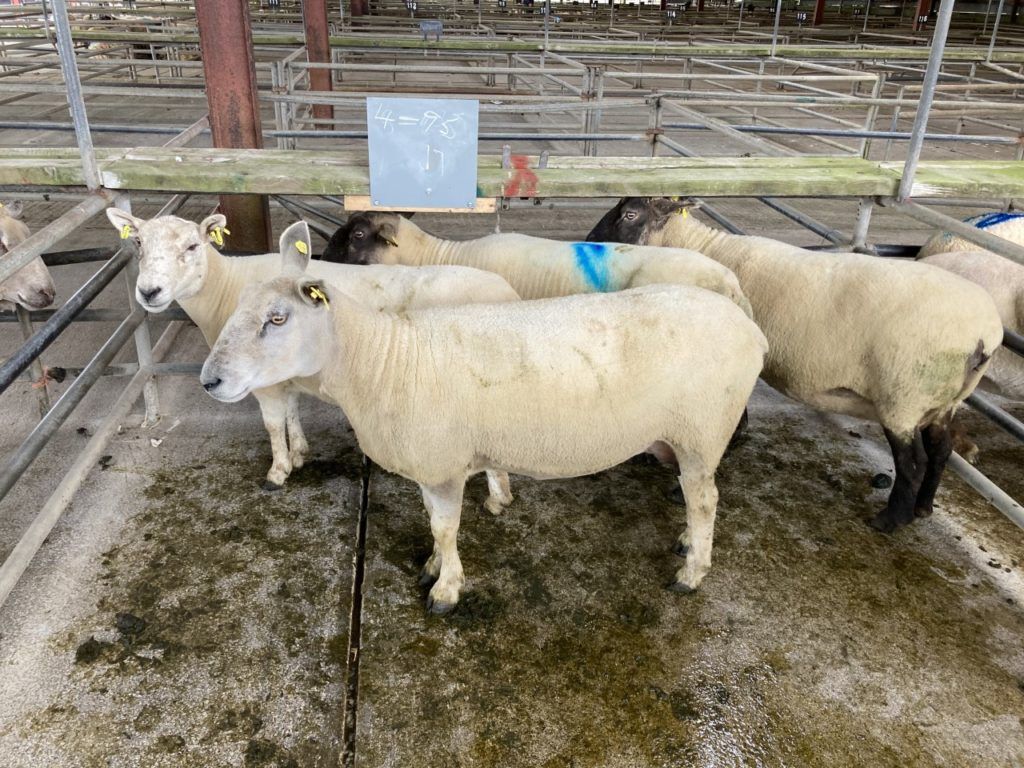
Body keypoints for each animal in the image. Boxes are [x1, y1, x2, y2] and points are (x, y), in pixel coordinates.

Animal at [104, 209, 519, 512]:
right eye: (137, 242)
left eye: (193, 246)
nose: (149, 292)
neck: (222, 289)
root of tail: (509, 291)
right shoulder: (283, 374)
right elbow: (292, 411)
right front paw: (300, 451)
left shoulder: (264, 380)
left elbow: (273, 425)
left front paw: (278, 471)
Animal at [200, 245, 768, 613]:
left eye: (277, 318)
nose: (209, 381)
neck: (383, 360)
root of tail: (750, 327)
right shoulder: (434, 463)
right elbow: (433, 521)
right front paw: (433, 566)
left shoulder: (443, 466)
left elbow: (446, 527)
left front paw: (445, 590)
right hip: (687, 437)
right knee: (696, 497)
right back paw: (687, 543)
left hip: (702, 430)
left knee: (705, 500)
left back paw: (691, 574)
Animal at [587, 197, 1005, 534]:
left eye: (629, 214)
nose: (590, 240)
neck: (698, 250)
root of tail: (986, 333)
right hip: (942, 399)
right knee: (941, 450)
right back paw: (923, 508)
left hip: (905, 395)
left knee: (913, 461)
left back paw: (891, 520)